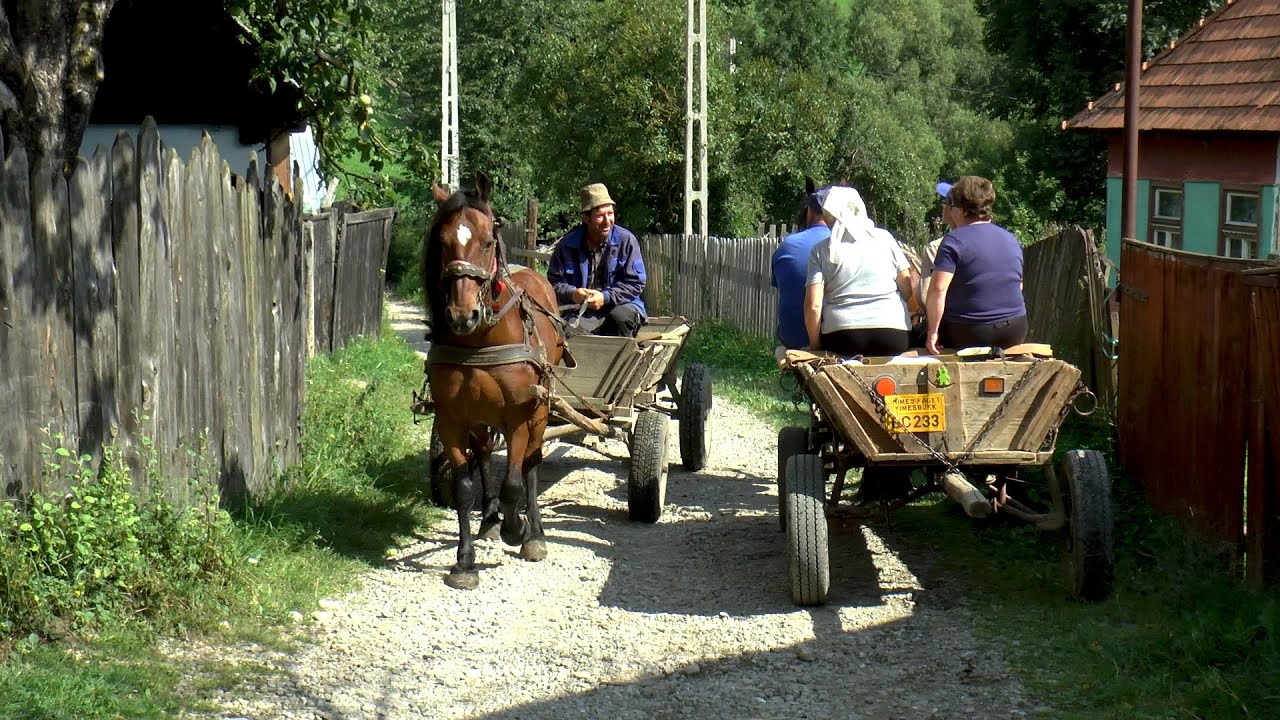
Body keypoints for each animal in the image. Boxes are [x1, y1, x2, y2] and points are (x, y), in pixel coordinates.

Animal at [424, 170, 565, 586]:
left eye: (487, 241)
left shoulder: (519, 416)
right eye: (442, 241)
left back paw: (533, 533)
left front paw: (516, 528)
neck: (481, 341)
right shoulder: (452, 418)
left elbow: (514, 482)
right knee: (486, 454)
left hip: (538, 411)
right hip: (480, 417)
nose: (462, 314)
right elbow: (463, 486)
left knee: (531, 462)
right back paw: (488, 519)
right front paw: (464, 561)